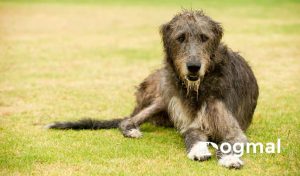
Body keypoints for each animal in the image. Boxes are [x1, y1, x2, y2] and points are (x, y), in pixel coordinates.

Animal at [46, 10, 258, 169]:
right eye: (181, 38)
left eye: (204, 37)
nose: (193, 67)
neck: (198, 88)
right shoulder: (192, 125)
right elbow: (193, 138)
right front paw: (199, 152)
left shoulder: (232, 128)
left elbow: (230, 142)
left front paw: (229, 159)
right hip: (163, 98)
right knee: (126, 121)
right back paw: (132, 130)